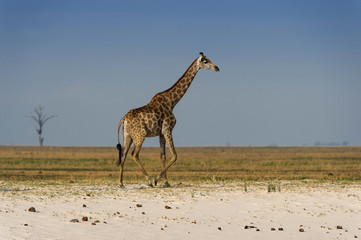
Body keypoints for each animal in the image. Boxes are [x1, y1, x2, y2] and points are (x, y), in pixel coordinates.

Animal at [115, 52, 218, 188]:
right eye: (205, 61)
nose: (217, 68)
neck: (172, 102)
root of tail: (124, 118)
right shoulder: (167, 129)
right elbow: (174, 155)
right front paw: (156, 180)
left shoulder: (161, 133)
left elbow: (162, 156)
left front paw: (166, 182)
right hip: (140, 135)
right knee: (134, 154)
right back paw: (148, 180)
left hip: (128, 136)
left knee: (124, 154)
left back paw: (121, 183)